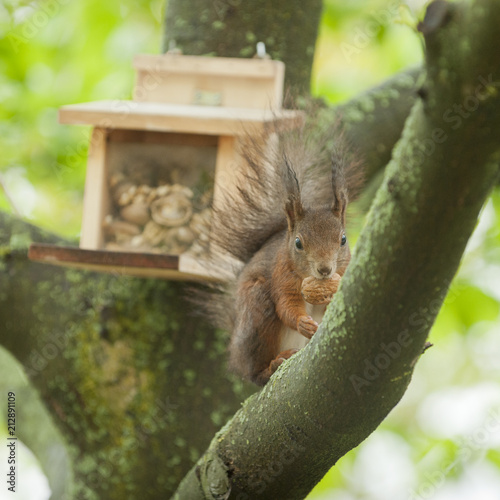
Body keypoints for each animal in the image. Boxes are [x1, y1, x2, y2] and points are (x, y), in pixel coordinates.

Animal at [206, 124, 360, 386]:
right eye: (298, 243)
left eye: (343, 239)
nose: (324, 269)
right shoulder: (282, 274)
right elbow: (286, 304)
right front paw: (302, 322)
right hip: (256, 313)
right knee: (253, 372)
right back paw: (271, 366)